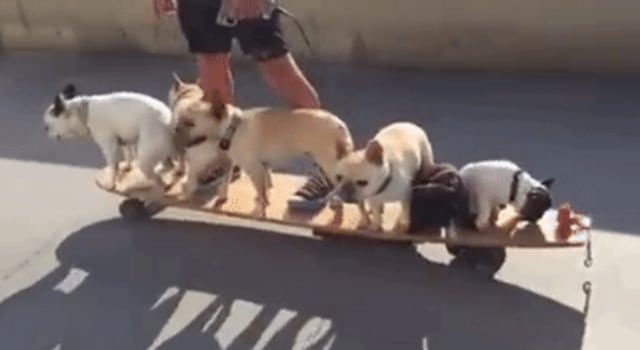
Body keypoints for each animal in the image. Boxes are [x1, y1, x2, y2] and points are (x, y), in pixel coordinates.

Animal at [42, 82, 179, 191]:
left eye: (47, 127)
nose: (45, 132)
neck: (80, 113)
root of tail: (171, 121)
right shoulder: (124, 138)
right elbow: (128, 153)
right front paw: (127, 166)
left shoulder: (109, 146)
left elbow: (113, 166)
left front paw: (111, 184)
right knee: (170, 166)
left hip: (147, 151)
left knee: (157, 178)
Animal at [182, 91, 356, 217]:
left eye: (190, 123)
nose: (177, 129)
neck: (232, 127)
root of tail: (340, 125)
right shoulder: (263, 168)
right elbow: (264, 189)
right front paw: (260, 203)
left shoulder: (255, 169)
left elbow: (261, 192)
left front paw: (260, 210)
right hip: (320, 161)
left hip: (329, 163)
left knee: (341, 183)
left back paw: (338, 201)